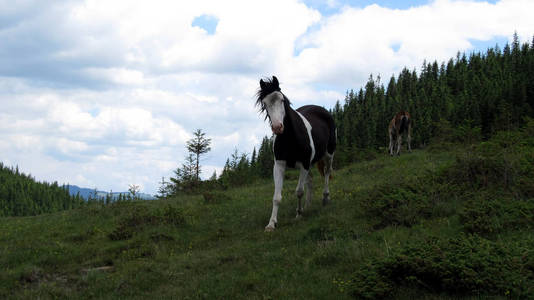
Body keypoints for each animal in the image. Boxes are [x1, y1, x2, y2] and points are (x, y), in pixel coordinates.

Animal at [256, 76, 340, 231]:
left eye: (281, 99)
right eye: (265, 103)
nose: (277, 127)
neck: (291, 138)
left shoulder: (304, 164)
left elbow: (299, 191)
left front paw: (298, 214)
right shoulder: (279, 165)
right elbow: (276, 197)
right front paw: (271, 224)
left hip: (329, 154)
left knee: (326, 172)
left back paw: (325, 198)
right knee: (310, 180)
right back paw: (308, 205)